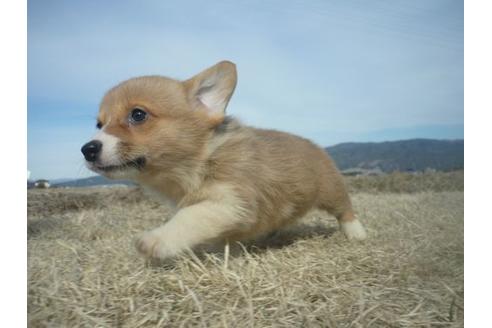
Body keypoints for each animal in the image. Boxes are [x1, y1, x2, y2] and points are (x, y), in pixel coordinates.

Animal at [81, 60, 366, 262]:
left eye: (138, 114)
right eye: (99, 124)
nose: (87, 150)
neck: (201, 159)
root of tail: (316, 145)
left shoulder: (232, 201)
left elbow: (191, 217)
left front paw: (157, 240)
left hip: (331, 189)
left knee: (345, 210)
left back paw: (356, 233)